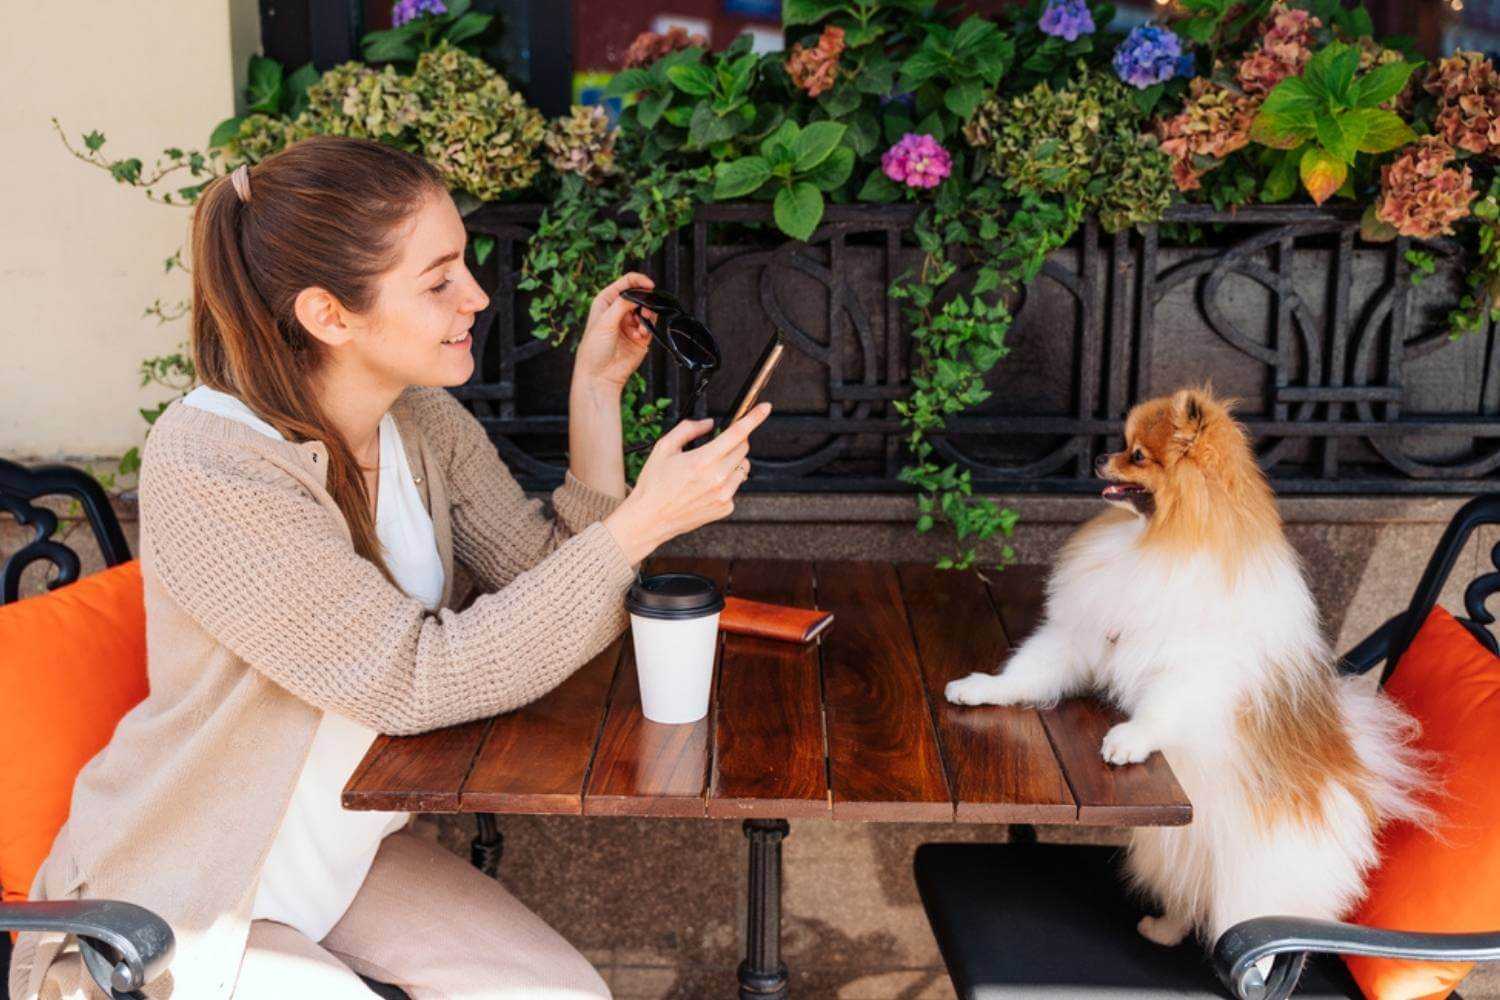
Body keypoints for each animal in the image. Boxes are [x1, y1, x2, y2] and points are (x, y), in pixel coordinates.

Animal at [948, 386, 1428, 953]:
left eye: (1136, 455)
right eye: (1123, 445)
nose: (1097, 457)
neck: (1155, 541)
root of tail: (1359, 775)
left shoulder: (1190, 672)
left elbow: (1159, 710)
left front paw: (1128, 740)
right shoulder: (1083, 636)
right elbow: (1028, 672)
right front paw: (981, 688)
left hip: (1262, 876)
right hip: (1185, 848)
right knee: (1188, 895)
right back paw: (1162, 930)